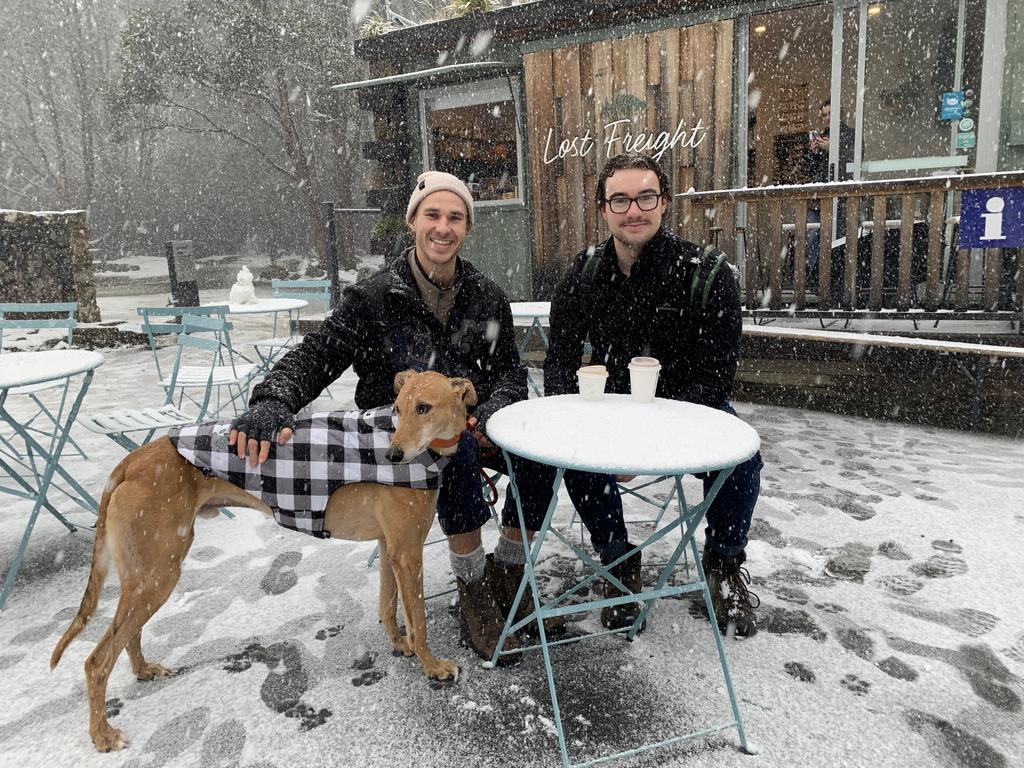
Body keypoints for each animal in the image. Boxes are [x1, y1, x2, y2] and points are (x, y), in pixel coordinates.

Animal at [51, 370, 475, 753]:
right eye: (399, 408)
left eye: (423, 407)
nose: (393, 455)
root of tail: (133, 461)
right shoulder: (407, 551)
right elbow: (419, 621)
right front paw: (434, 667)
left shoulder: (391, 547)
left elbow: (388, 607)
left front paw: (400, 645)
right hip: (158, 573)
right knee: (96, 660)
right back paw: (102, 735)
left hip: (149, 573)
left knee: (127, 635)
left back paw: (143, 671)